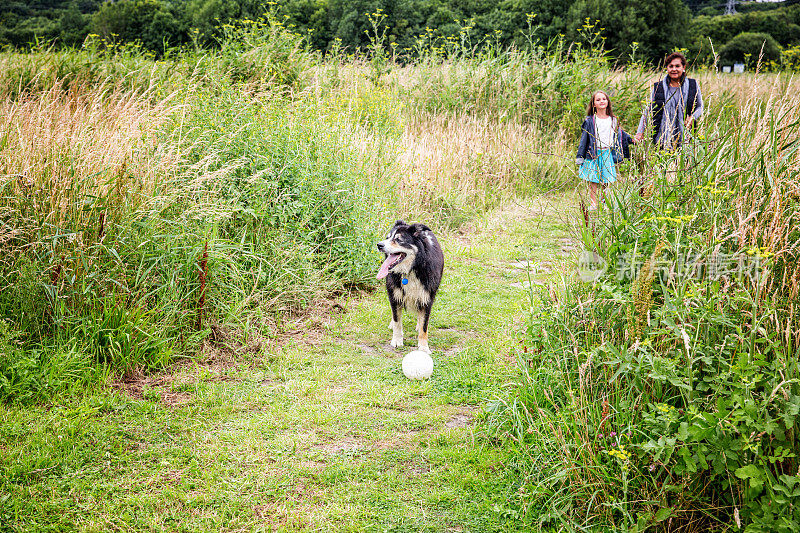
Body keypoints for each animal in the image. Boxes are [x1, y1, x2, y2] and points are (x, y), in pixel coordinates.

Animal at [376, 220, 444, 354]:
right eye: (388, 237)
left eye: (398, 239)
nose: (379, 245)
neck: (412, 269)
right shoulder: (394, 295)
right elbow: (397, 320)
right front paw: (397, 340)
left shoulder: (427, 297)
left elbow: (424, 326)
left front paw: (423, 347)